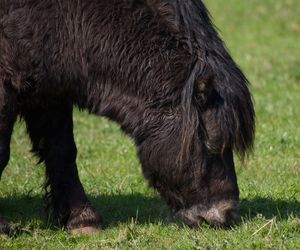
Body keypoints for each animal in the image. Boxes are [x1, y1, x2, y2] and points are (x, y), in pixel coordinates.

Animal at [0, 0, 255, 234]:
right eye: (212, 145)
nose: (228, 214)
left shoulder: (52, 91)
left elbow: (62, 151)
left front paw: (82, 218)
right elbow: (4, 154)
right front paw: (3, 227)